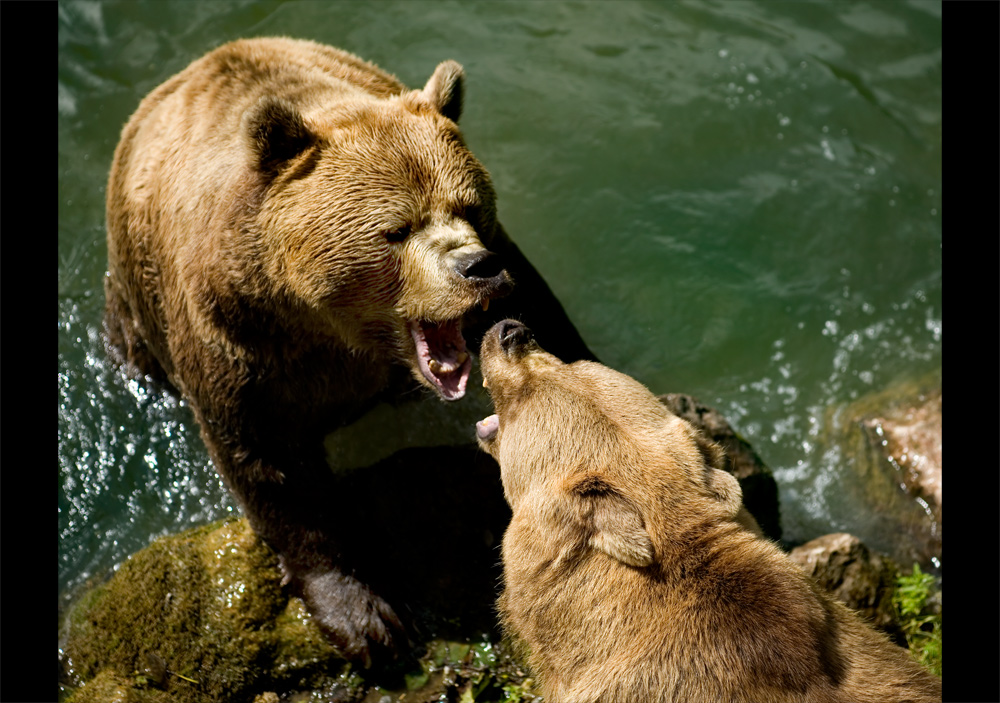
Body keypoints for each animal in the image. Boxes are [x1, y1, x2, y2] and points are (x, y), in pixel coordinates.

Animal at [105, 38, 592, 664]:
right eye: (397, 229)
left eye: (469, 206)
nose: (477, 268)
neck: (331, 327)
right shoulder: (236, 340)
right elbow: (270, 467)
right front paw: (367, 619)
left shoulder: (506, 271)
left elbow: (541, 320)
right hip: (134, 310)